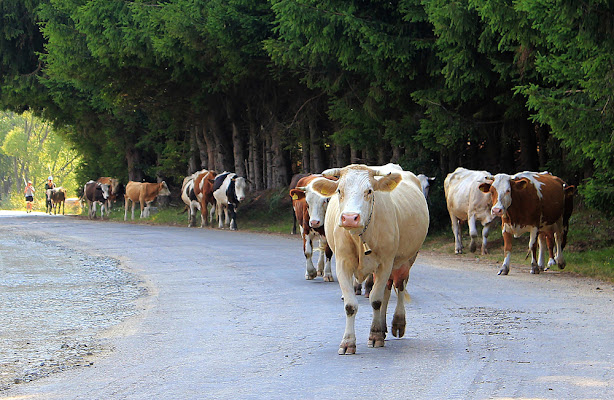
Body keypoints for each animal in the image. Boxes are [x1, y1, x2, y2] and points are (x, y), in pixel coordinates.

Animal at [312, 164, 428, 354]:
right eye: (339, 190)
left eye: (369, 191)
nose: (350, 218)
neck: (360, 237)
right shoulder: (342, 264)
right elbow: (350, 305)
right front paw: (348, 342)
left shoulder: (385, 263)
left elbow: (376, 300)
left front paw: (375, 335)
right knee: (387, 289)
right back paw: (382, 326)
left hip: (407, 259)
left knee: (399, 286)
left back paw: (396, 323)